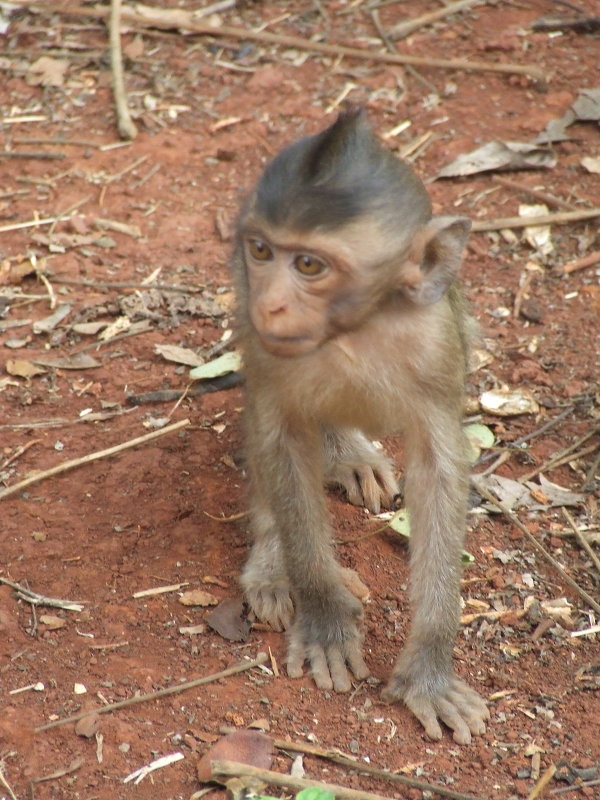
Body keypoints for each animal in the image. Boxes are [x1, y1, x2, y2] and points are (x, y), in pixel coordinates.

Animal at [232, 106, 490, 744]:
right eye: (260, 250)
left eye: (309, 264)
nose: (269, 303)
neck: (355, 328)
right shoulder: (267, 344)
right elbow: (280, 437)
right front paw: (324, 615)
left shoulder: (434, 343)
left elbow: (439, 469)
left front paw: (429, 667)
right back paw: (274, 561)